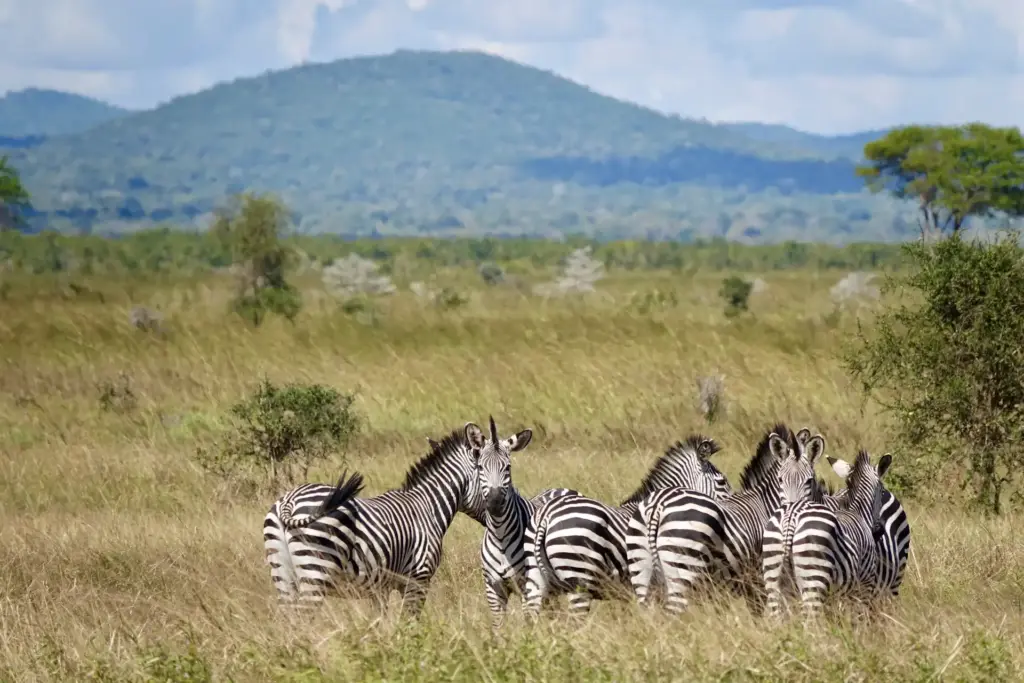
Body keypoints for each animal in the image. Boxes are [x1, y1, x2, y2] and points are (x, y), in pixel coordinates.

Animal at [262, 426, 488, 615]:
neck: (427, 506)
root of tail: (290, 501)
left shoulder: (379, 589)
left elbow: (380, 622)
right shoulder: (417, 579)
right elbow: (409, 622)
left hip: (282, 572)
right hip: (315, 568)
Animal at [467, 416, 580, 628]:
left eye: (507, 467)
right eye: (480, 467)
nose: (495, 503)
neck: (499, 535)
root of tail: (561, 488)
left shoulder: (526, 585)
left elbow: (528, 622)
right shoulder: (493, 588)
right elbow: (498, 627)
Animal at [626, 424, 825, 616]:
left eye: (809, 481)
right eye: (781, 480)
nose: (792, 507)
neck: (766, 503)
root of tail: (658, 505)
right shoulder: (759, 577)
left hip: (640, 568)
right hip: (682, 566)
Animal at [762, 449, 894, 620]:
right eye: (883, 491)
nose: (879, 531)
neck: (858, 512)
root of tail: (792, 515)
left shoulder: (837, 594)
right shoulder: (864, 584)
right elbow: (858, 618)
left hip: (773, 575)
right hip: (813, 575)